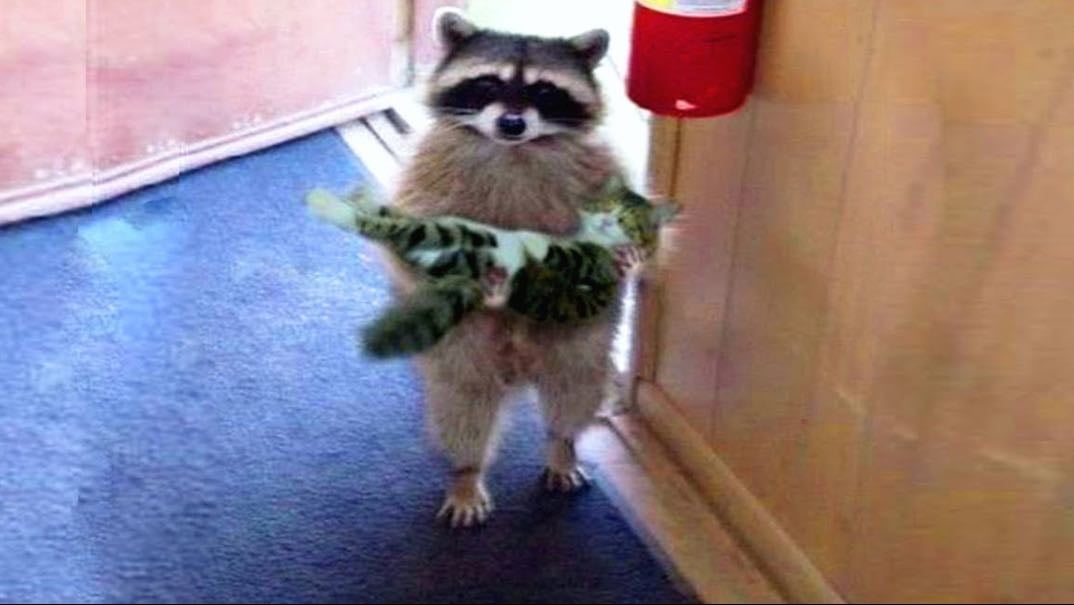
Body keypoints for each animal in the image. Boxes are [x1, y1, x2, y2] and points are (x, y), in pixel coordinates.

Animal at [390, 9, 628, 527]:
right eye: (488, 83)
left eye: (544, 90)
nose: (512, 122)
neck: (514, 148)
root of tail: (519, 362)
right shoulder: (427, 174)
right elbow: (417, 233)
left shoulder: (598, 172)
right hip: (465, 346)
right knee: (463, 404)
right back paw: (466, 471)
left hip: (579, 339)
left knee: (574, 387)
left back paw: (562, 445)